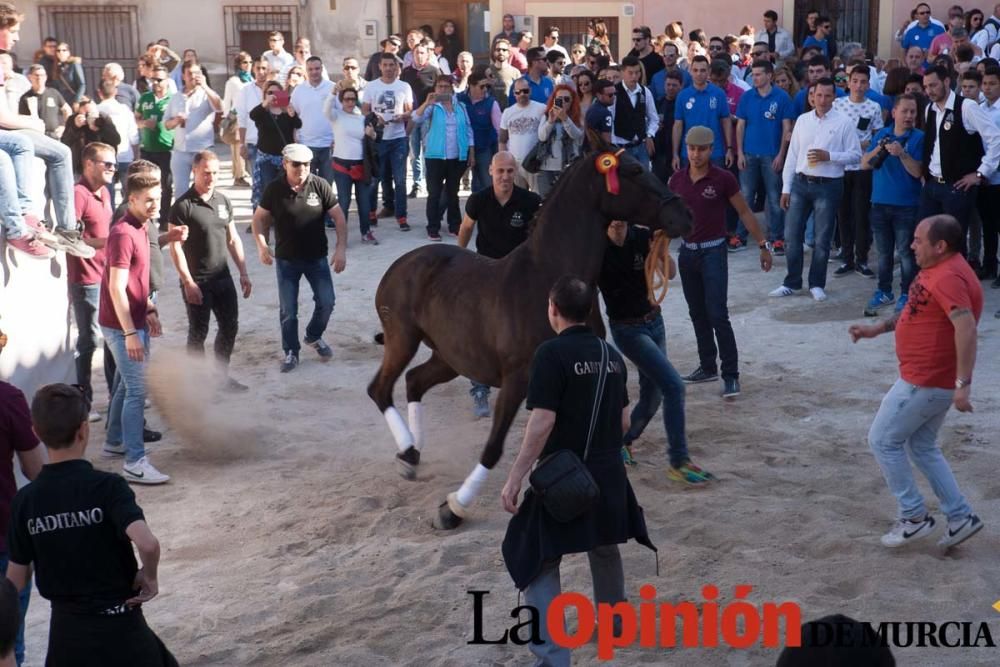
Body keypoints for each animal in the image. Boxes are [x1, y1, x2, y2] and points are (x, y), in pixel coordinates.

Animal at [366, 149, 688, 528]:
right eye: (635, 170)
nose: (685, 215)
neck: (547, 280)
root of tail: (400, 266)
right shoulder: (519, 379)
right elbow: (494, 447)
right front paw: (452, 509)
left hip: (450, 357)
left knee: (414, 381)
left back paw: (412, 455)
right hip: (403, 339)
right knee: (380, 388)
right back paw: (408, 451)